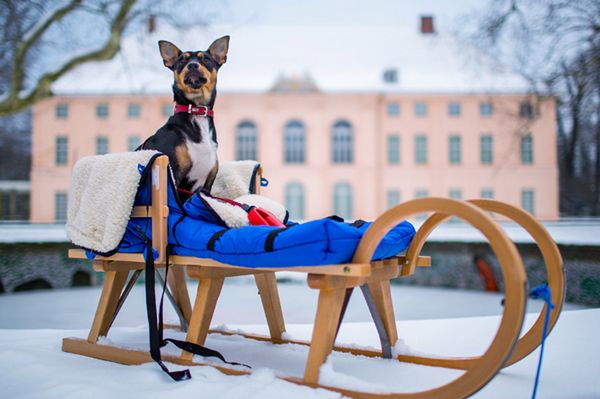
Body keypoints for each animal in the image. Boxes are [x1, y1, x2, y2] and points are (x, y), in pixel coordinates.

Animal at [140, 36, 230, 196]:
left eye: (205, 59)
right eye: (182, 60)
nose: (192, 65)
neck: (196, 110)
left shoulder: (206, 186)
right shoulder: (174, 175)